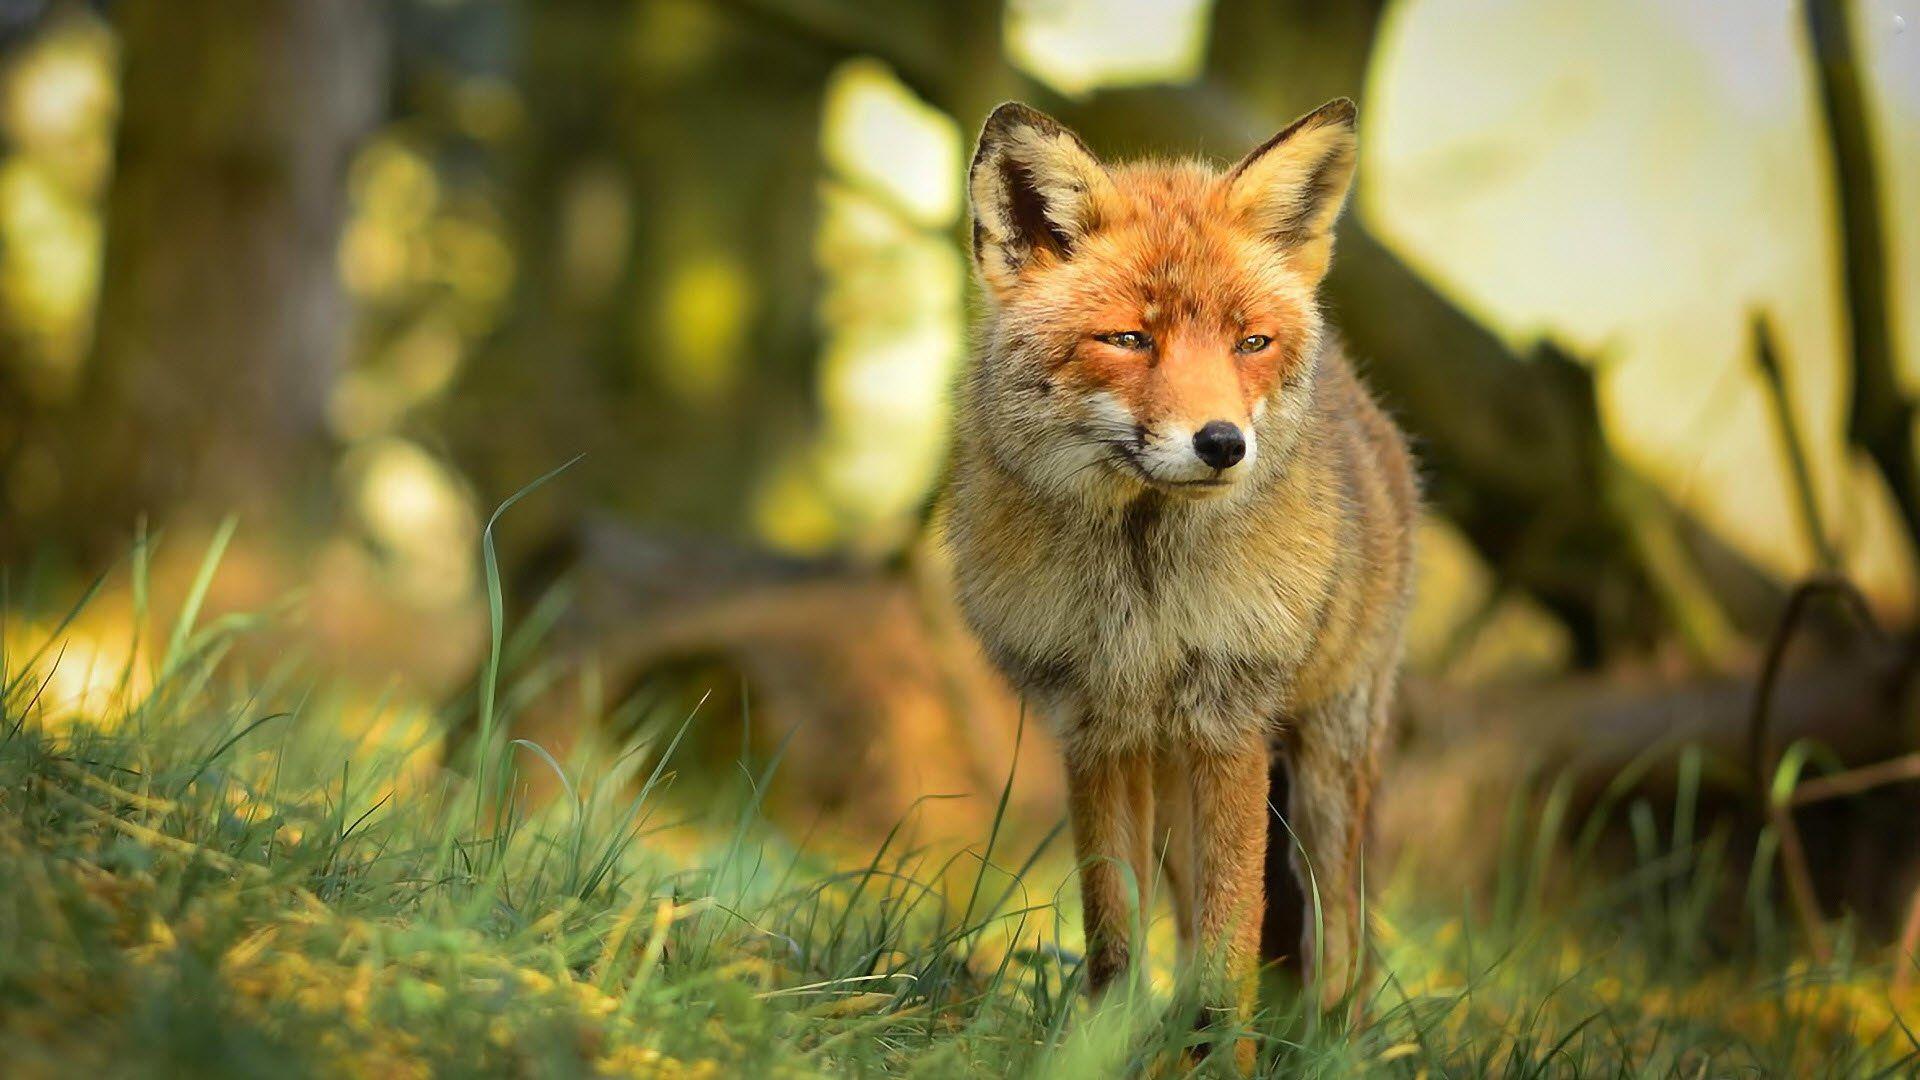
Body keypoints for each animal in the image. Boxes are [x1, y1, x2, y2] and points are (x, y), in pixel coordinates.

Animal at [941, 97, 1418, 1036]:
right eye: (1129, 338)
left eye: (1251, 342)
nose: (1223, 444)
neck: (1142, 594)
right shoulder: (1095, 728)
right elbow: (1116, 942)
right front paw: (1101, 1046)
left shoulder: (1231, 722)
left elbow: (1235, 954)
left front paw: (1225, 1051)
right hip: (1172, 791)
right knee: (1200, 931)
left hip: (1325, 775)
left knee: (1341, 950)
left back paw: (1322, 1045)